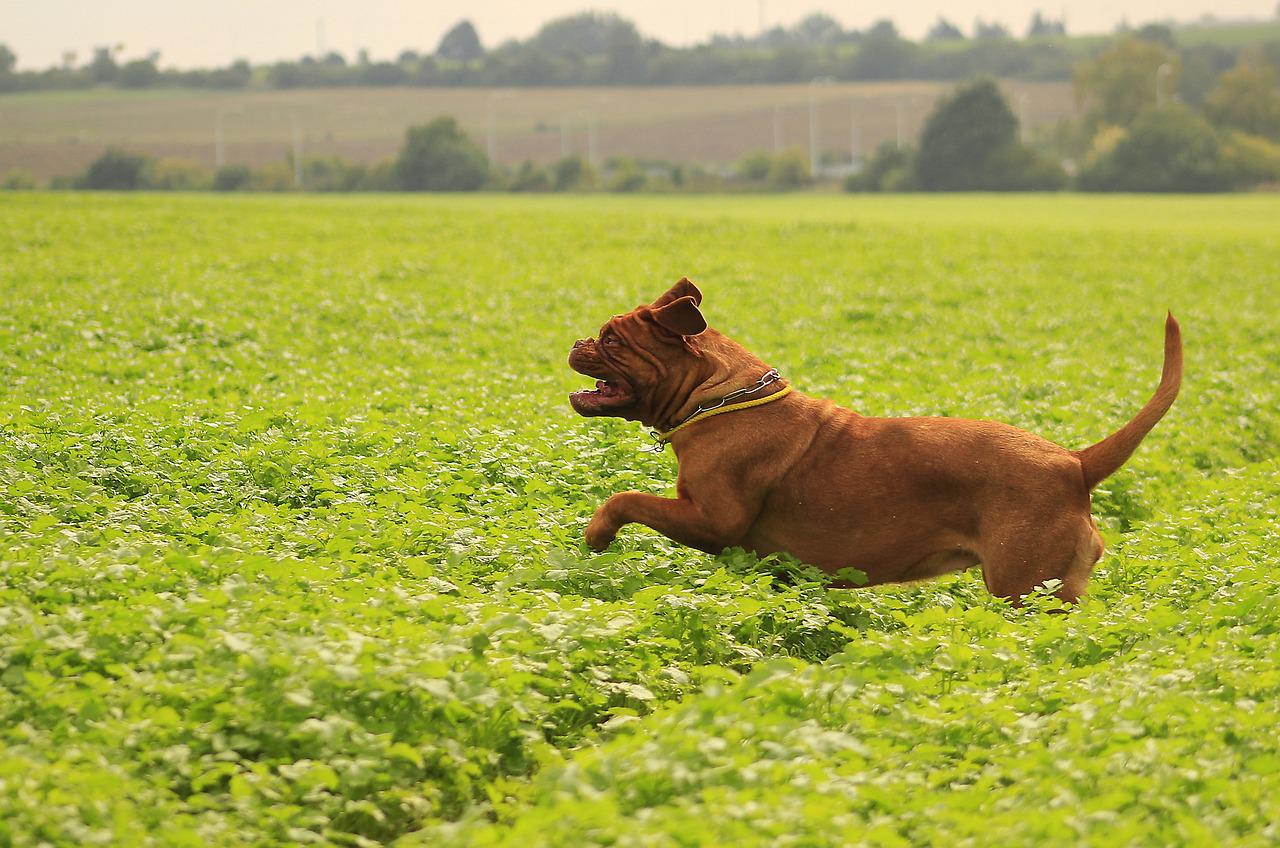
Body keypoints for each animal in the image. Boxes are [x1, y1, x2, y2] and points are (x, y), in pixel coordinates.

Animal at [565, 279, 1182, 604]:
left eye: (612, 339)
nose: (576, 341)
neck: (718, 395)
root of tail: (1074, 465)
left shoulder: (710, 520)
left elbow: (626, 499)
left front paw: (596, 535)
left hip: (1025, 586)